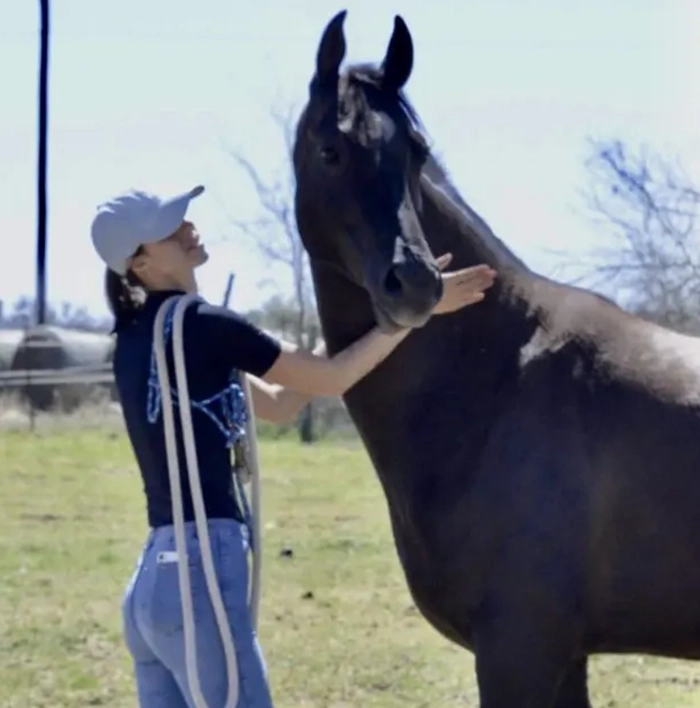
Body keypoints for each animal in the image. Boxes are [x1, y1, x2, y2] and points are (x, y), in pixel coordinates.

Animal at [292, 12, 700, 708]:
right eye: (331, 151)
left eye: (416, 152)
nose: (416, 283)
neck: (495, 382)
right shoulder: (562, 656)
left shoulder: (521, 651)